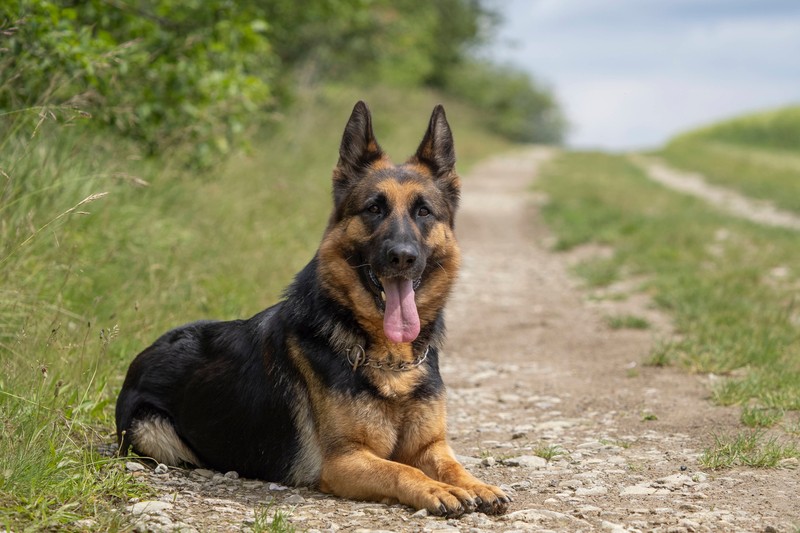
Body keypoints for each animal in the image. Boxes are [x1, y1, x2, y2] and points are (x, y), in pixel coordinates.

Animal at [115, 101, 510, 516]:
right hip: (153, 431)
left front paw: (476, 484)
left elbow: (452, 465)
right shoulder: (344, 460)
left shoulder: (430, 446)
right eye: (374, 208)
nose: (402, 257)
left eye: (424, 212)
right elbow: (402, 470)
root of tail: (143, 354)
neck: (391, 361)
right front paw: (436, 489)